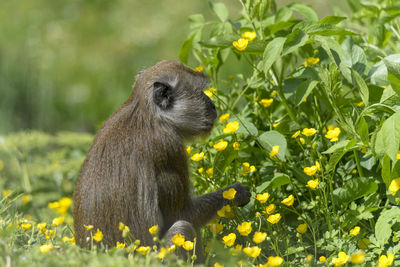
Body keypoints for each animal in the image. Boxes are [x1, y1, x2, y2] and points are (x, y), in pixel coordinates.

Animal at [72, 60, 250, 260]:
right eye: (200, 92)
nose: (213, 105)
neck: (149, 114)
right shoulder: (170, 147)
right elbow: (184, 214)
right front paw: (235, 193)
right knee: (182, 226)